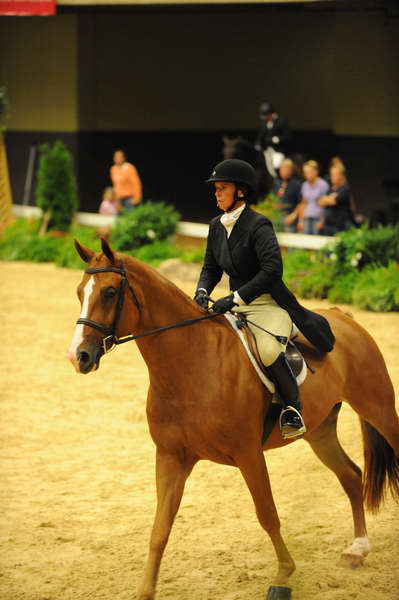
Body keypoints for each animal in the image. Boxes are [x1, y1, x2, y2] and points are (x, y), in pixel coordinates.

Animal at [69, 239, 399, 600]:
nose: (78, 356)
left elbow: (267, 514)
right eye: (79, 292)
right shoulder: (171, 457)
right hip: (320, 431)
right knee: (351, 476)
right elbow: (160, 528)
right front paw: (145, 590)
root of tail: (344, 317)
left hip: (379, 409)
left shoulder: (248, 453)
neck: (193, 365)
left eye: (111, 292)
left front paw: (284, 575)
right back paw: (357, 549)